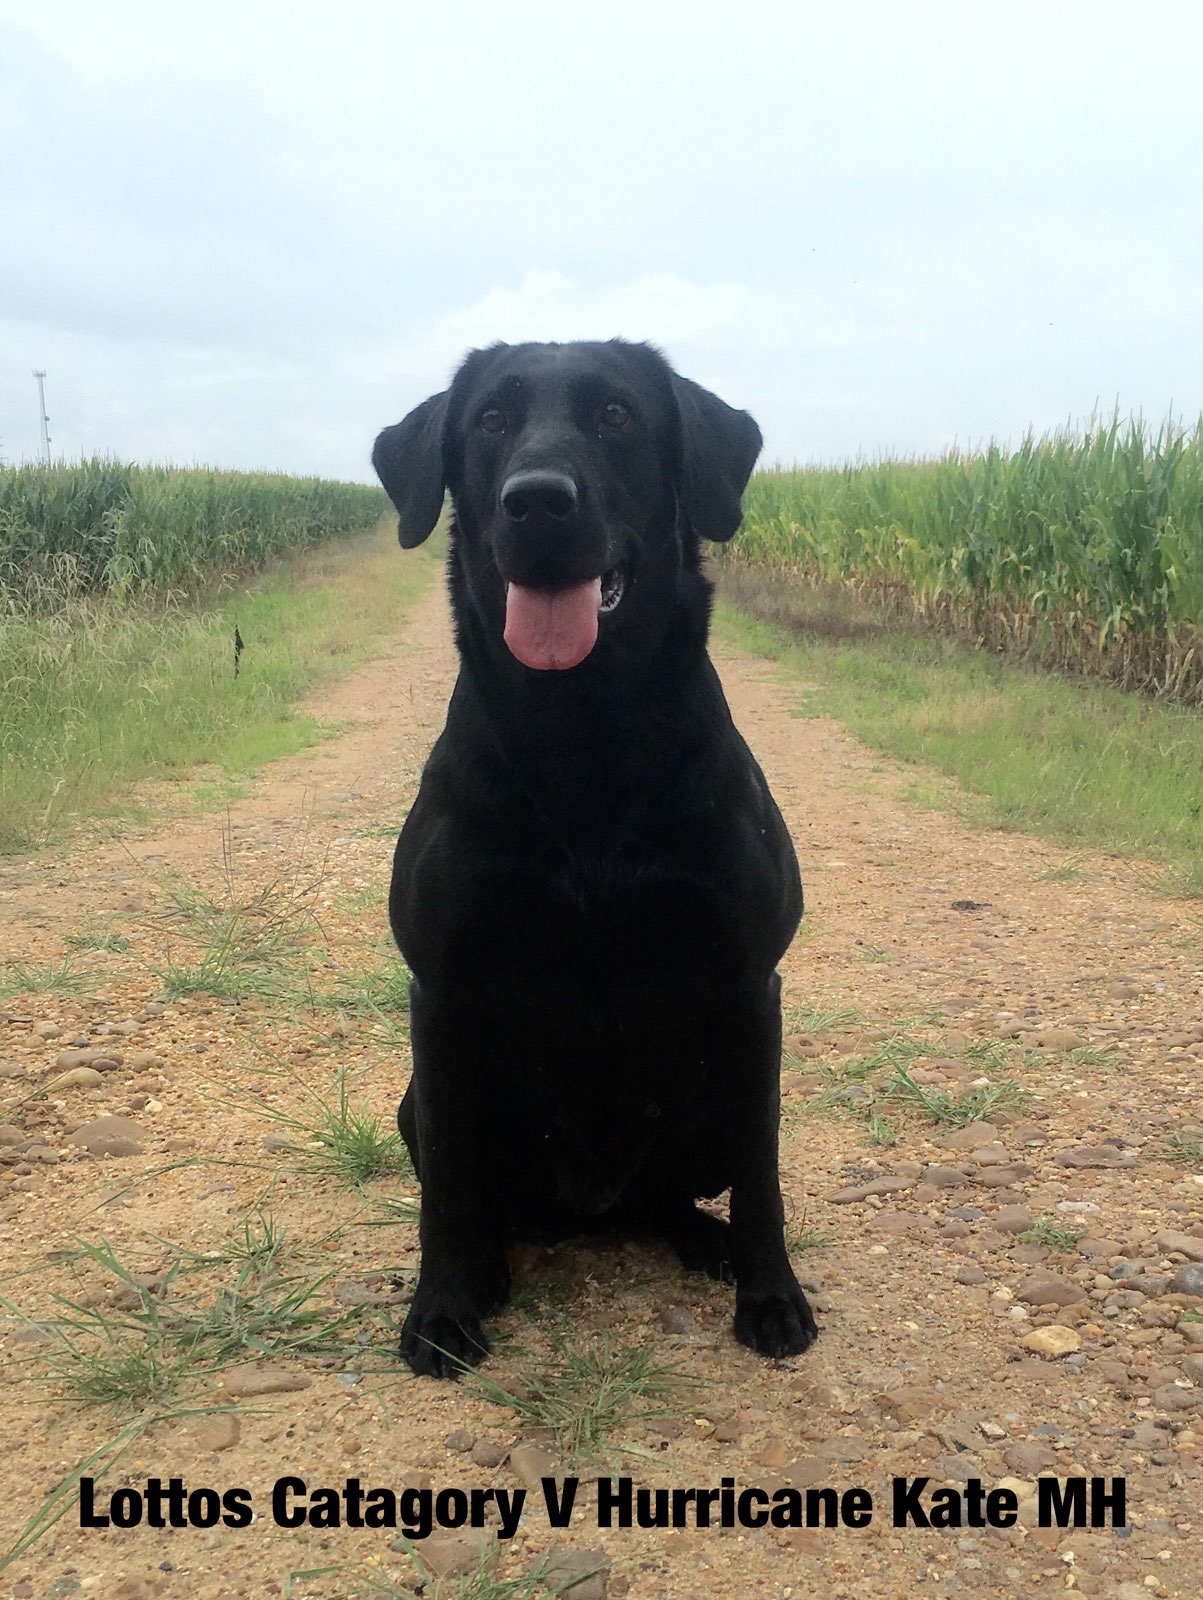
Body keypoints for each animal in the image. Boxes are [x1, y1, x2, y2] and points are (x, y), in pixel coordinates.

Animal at [371, 344, 812, 1382]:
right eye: (490, 421)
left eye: (615, 415)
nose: (536, 502)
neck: (584, 736)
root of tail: (595, 1207)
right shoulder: (440, 994)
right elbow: (445, 1191)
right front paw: (440, 1307)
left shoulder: (749, 986)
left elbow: (763, 1170)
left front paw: (771, 1296)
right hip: (419, 1101)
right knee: (477, 1193)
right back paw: (488, 1268)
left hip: (703, 1103)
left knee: (677, 1196)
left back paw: (706, 1242)